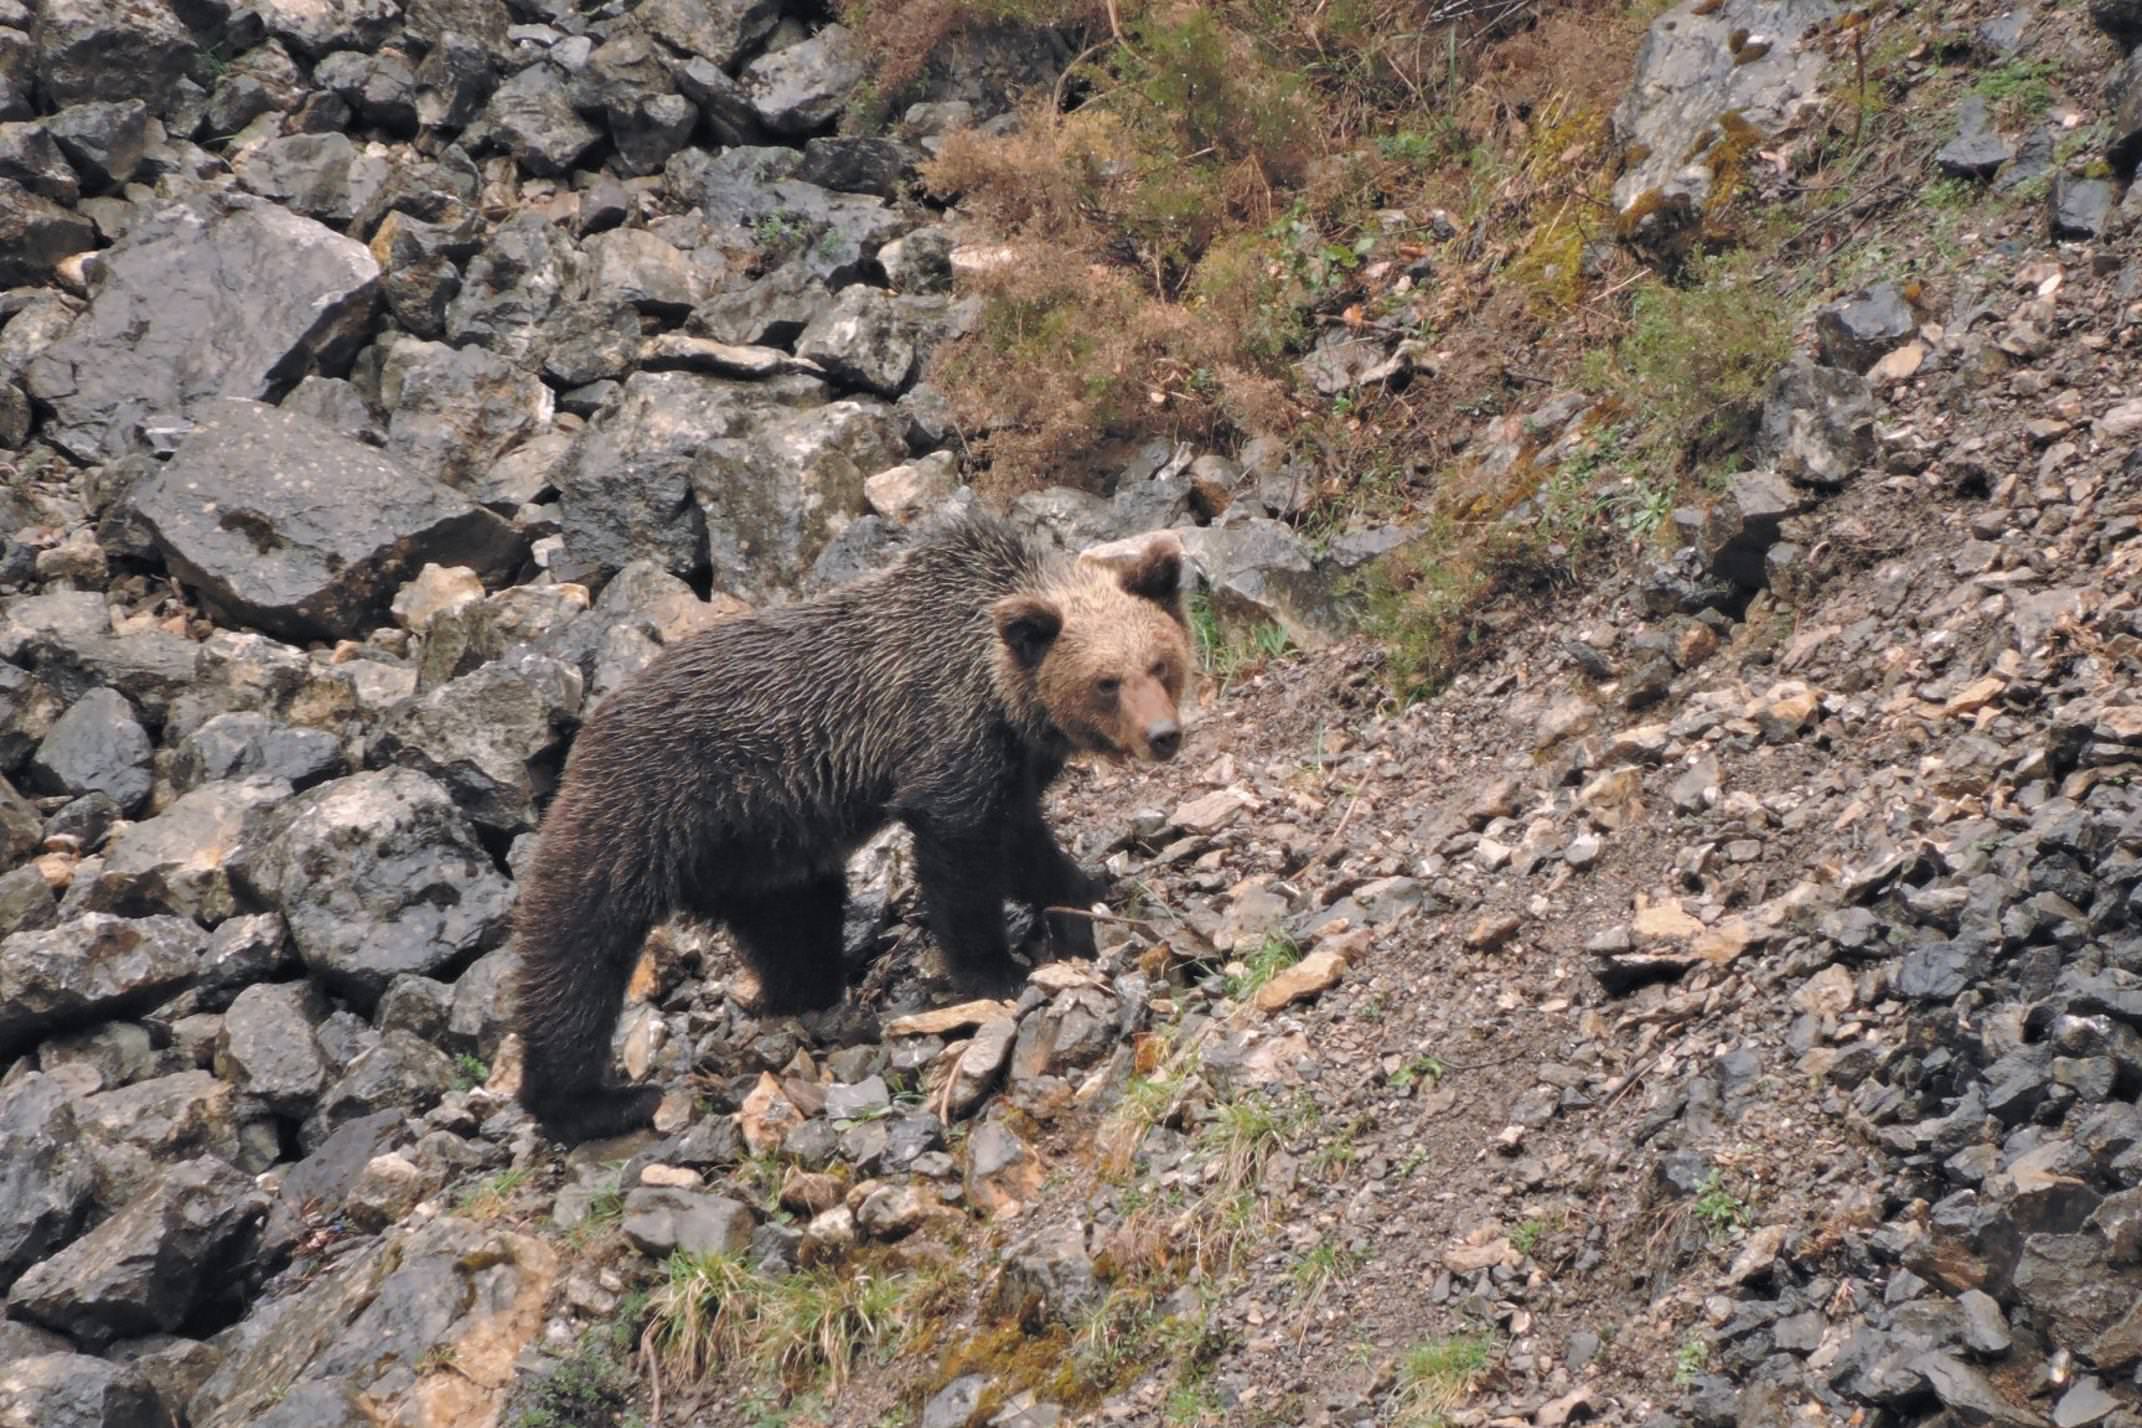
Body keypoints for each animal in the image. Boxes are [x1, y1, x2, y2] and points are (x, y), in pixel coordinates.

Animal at [511, 507, 1199, 1147]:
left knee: (794, 923)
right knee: (577, 947)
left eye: (1160, 663)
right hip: (642, 810)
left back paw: (808, 992)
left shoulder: (1011, 761)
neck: (999, 690)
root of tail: (590, 726)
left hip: (760, 851)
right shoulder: (942, 737)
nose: (1163, 735)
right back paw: (594, 1101)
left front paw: (1082, 902)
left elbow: (1024, 842)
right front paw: (996, 972)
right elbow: (961, 859)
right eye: (1107, 682)